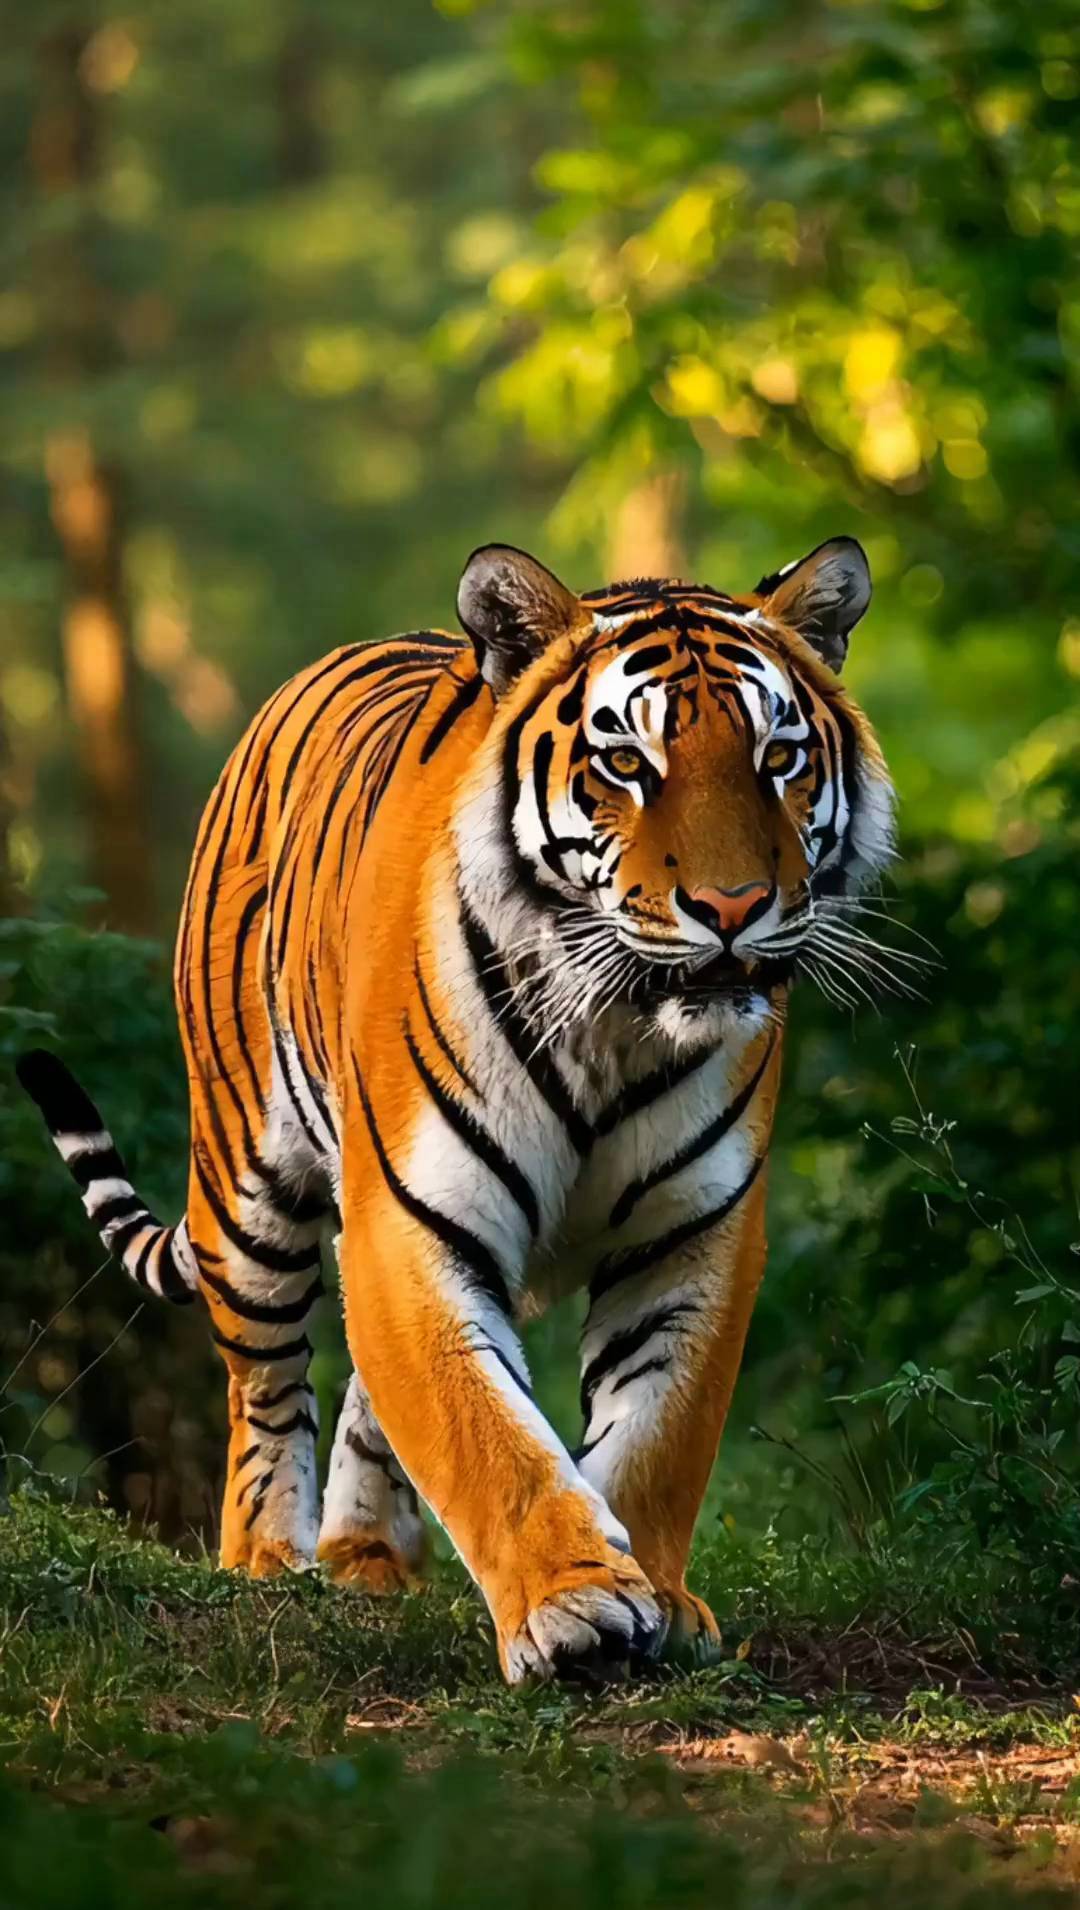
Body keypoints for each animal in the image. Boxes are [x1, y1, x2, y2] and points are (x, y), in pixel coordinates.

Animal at [18, 535, 895, 1684]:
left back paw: (366, 1558)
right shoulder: (413, 1217)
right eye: (628, 763)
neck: (615, 1022)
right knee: (268, 1386)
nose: (734, 908)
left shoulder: (693, 1236)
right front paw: (575, 1605)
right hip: (250, 1189)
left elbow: (657, 1433)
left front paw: (655, 1595)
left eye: (780, 758)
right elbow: (487, 1429)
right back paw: (267, 1560)